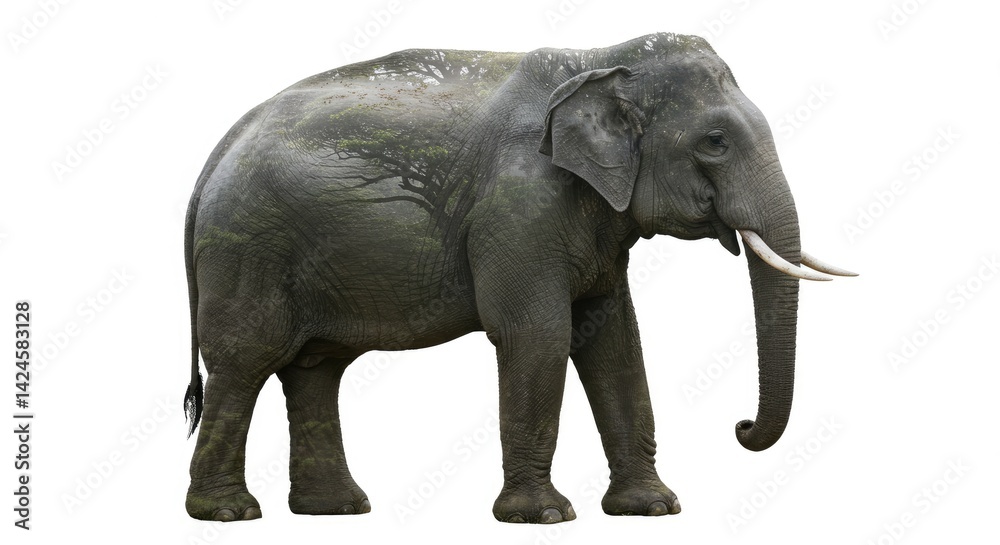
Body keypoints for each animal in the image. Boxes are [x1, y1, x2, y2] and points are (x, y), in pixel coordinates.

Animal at [182, 32, 855, 523]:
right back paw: (229, 514)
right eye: (714, 142)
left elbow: (615, 342)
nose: (740, 428)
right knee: (245, 361)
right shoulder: (519, 207)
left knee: (315, 367)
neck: (601, 60)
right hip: (246, 247)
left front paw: (654, 509)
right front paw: (544, 517)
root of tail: (216, 153)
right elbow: (538, 334)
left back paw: (336, 510)